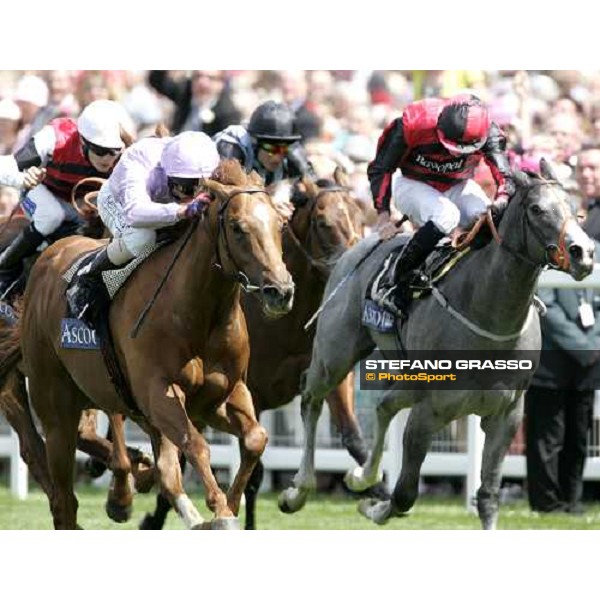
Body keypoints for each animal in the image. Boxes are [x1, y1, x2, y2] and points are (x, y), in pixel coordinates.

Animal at [0, 161, 294, 528]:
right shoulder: (158, 393)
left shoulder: (223, 395)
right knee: (62, 495)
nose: (280, 291)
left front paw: (228, 505)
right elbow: (195, 446)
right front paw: (221, 512)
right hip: (56, 409)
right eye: (238, 227)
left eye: (280, 224)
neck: (199, 313)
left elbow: (255, 439)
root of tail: (48, 258)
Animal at [141, 170, 380, 528]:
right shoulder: (247, 390)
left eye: (362, 216)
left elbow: (352, 436)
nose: (357, 268)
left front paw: (379, 492)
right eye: (323, 222)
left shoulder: (328, 372)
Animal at [278, 161, 596, 528]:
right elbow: (404, 494)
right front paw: (374, 507)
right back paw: (298, 490)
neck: (489, 314)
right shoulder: (430, 411)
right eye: (537, 209)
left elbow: (488, 496)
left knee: (384, 404)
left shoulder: (507, 415)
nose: (584, 252)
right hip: (336, 354)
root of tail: (356, 246)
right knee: (312, 399)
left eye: (573, 205)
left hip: (407, 375)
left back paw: (361, 476)